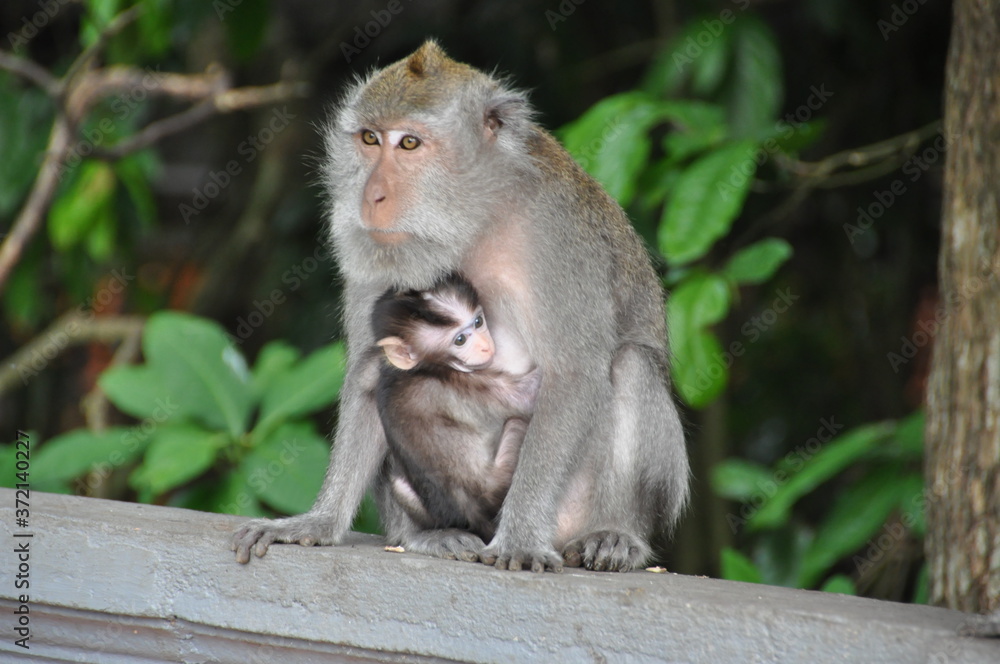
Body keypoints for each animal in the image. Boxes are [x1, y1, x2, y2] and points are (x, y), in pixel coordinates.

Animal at [372, 272, 540, 548]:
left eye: (478, 321)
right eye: (460, 340)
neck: (426, 368)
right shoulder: (469, 385)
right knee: (517, 422)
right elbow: (528, 395)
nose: (485, 346)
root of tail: (475, 516)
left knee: (400, 485)